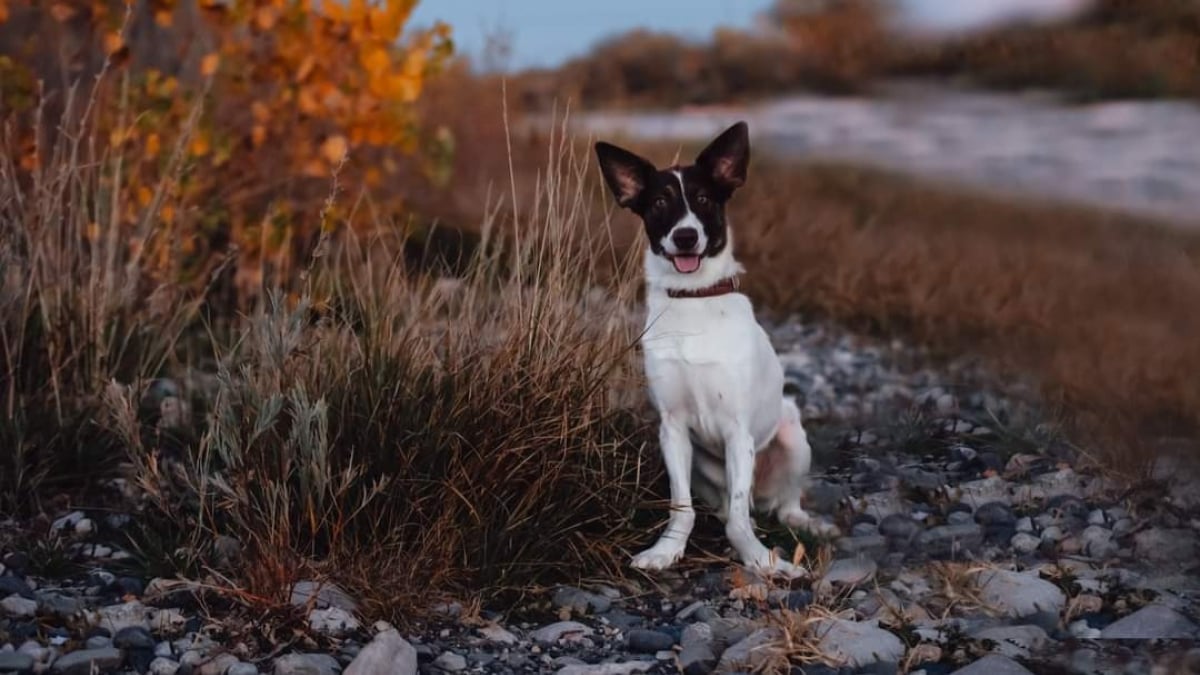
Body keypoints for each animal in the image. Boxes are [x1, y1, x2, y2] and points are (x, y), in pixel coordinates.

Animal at [595, 119, 830, 571]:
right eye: (659, 203)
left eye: (704, 198)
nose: (686, 237)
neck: (693, 299)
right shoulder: (671, 429)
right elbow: (681, 507)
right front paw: (666, 550)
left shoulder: (739, 432)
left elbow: (738, 520)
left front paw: (760, 559)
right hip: (704, 469)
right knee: (725, 505)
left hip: (793, 437)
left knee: (781, 503)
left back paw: (806, 522)